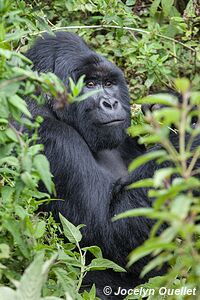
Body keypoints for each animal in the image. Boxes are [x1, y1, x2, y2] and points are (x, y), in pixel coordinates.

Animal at [25, 31, 199, 298]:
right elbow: (109, 233)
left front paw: (172, 105)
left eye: (108, 84)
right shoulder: (51, 140)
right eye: (89, 85)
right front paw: (189, 124)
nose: (110, 103)